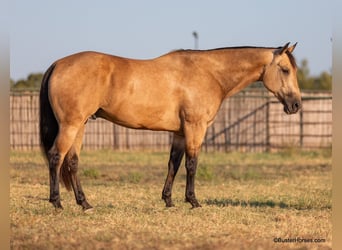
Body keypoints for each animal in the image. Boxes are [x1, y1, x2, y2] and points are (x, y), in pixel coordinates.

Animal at [40, 42, 300, 211]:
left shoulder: (179, 133)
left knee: (72, 162)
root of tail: (58, 64)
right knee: (56, 157)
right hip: (70, 125)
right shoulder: (195, 128)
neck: (209, 73)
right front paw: (193, 201)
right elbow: (192, 164)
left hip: (80, 125)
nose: (296, 104)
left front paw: (168, 200)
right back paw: (57, 203)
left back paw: (85, 203)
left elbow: (173, 164)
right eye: (285, 69)